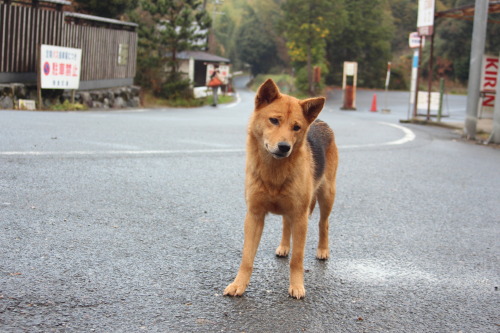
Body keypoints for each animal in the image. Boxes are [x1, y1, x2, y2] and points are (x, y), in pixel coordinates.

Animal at [224, 78, 338, 298]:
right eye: (274, 121)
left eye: (296, 127)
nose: (285, 147)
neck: (274, 173)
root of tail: (320, 121)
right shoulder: (254, 216)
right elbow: (247, 258)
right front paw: (238, 284)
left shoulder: (301, 217)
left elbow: (297, 259)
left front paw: (297, 286)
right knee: (286, 225)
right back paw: (284, 246)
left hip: (326, 197)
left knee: (324, 224)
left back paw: (323, 250)